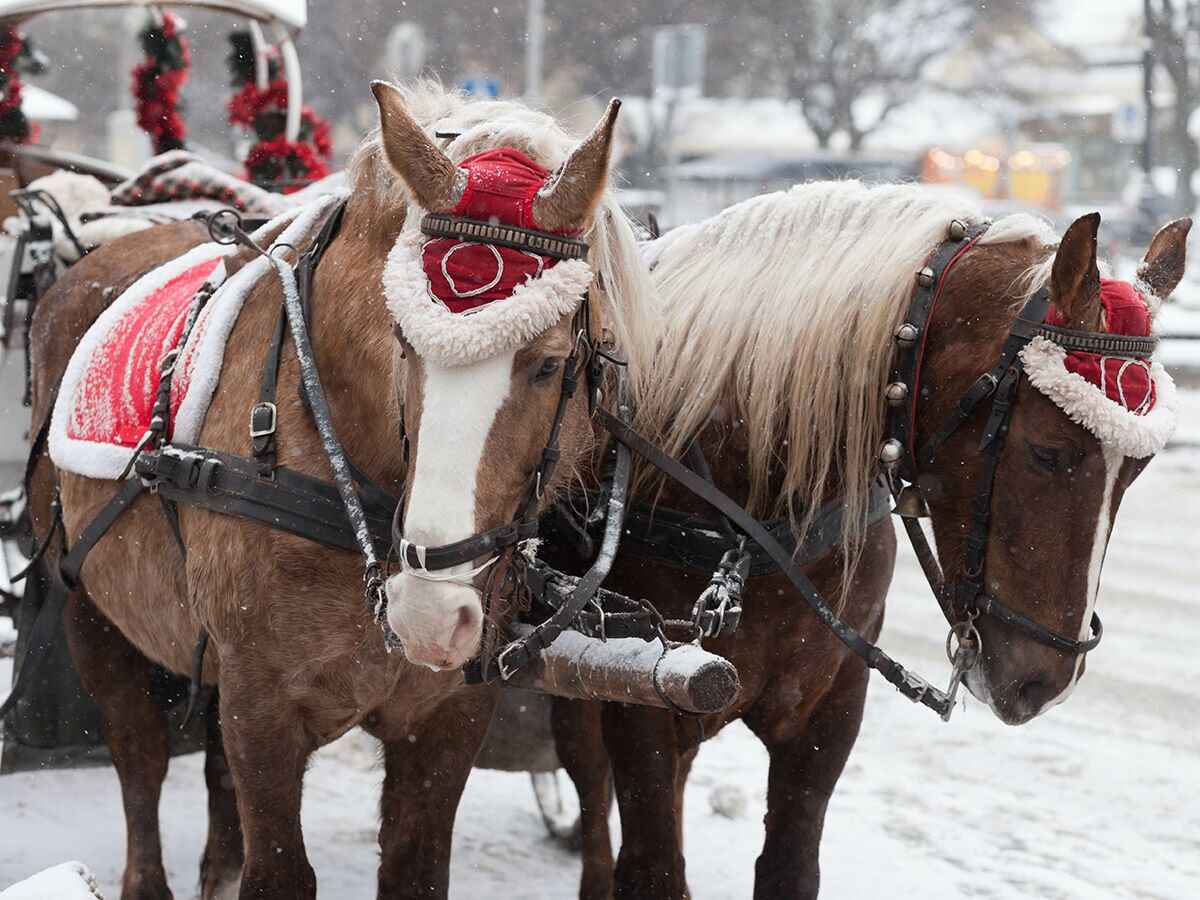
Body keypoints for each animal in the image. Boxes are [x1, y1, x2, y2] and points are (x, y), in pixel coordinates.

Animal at [24, 80, 654, 899]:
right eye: (403, 342)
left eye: (549, 364)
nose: (429, 613)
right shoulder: (262, 700)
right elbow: (277, 868)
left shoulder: (449, 709)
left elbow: (413, 863)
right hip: (90, 609)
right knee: (139, 758)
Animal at [550, 182, 1189, 898]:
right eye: (1049, 451)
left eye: (1140, 468)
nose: (1045, 681)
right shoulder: (641, 695)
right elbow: (650, 863)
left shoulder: (829, 709)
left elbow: (791, 864)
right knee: (587, 777)